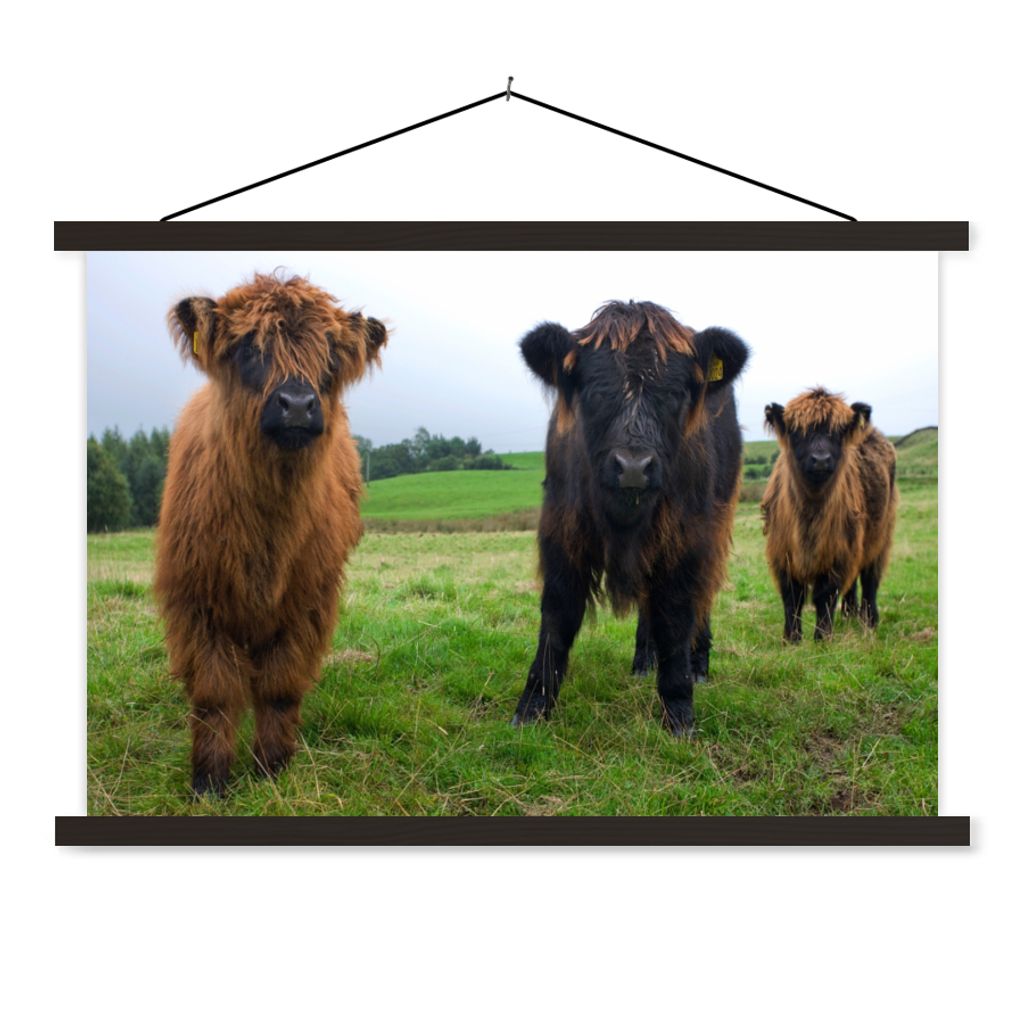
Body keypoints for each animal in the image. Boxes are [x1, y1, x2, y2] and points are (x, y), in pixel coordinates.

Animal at [154, 273, 387, 796]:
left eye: (330, 354)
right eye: (247, 347)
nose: (297, 405)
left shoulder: (307, 603)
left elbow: (280, 686)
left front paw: (272, 767)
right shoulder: (195, 601)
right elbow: (214, 692)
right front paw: (210, 779)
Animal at [514, 300, 750, 736]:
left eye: (675, 394)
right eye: (594, 391)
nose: (634, 467)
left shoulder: (686, 540)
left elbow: (676, 617)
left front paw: (679, 712)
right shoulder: (561, 532)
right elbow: (557, 617)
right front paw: (532, 707)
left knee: (702, 597)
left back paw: (699, 665)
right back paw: (643, 660)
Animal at [761, 387, 898, 643]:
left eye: (837, 432)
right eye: (798, 432)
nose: (821, 459)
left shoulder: (837, 552)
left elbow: (824, 595)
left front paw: (822, 637)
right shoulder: (782, 553)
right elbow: (792, 596)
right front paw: (791, 638)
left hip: (881, 534)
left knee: (870, 577)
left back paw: (869, 620)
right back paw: (849, 614)